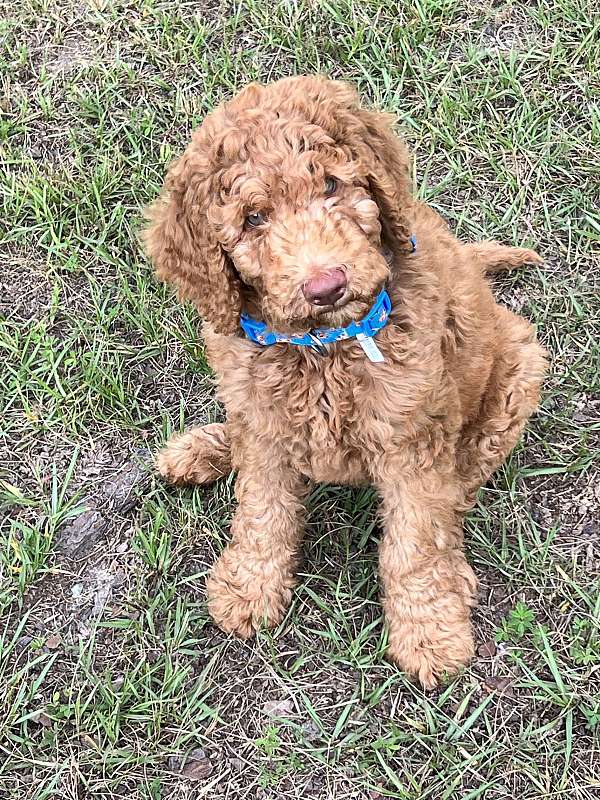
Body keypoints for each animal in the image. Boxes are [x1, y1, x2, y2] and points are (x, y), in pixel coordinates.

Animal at [143, 76, 548, 688]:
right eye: (253, 219)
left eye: (332, 185)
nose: (326, 285)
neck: (324, 347)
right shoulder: (262, 417)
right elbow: (262, 509)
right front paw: (250, 586)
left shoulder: (413, 439)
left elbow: (416, 540)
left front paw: (430, 630)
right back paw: (203, 449)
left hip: (517, 375)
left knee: (460, 487)